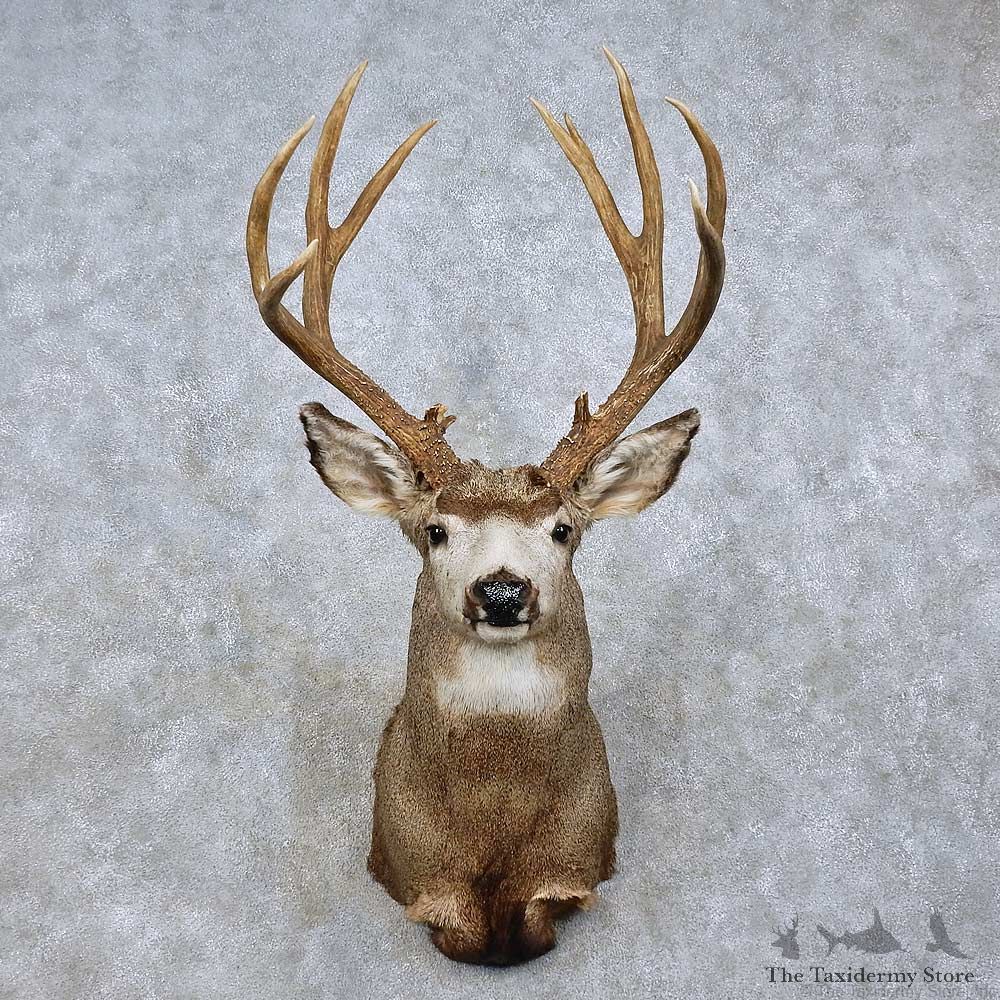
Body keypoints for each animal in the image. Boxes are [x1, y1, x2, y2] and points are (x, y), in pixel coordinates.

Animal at [246, 48, 725, 966]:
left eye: (564, 531)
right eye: (435, 530)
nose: (502, 590)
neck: (494, 845)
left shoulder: (571, 868)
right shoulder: (422, 882)